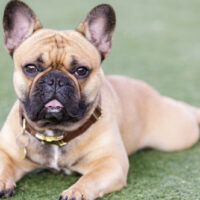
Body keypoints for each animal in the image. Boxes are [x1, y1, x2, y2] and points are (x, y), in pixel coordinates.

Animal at [1, 0, 200, 200]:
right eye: (31, 68)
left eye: (81, 71)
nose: (56, 80)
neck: (55, 131)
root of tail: (150, 91)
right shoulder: (6, 151)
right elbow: (4, 165)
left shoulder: (110, 163)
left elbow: (91, 178)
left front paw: (75, 192)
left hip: (177, 134)